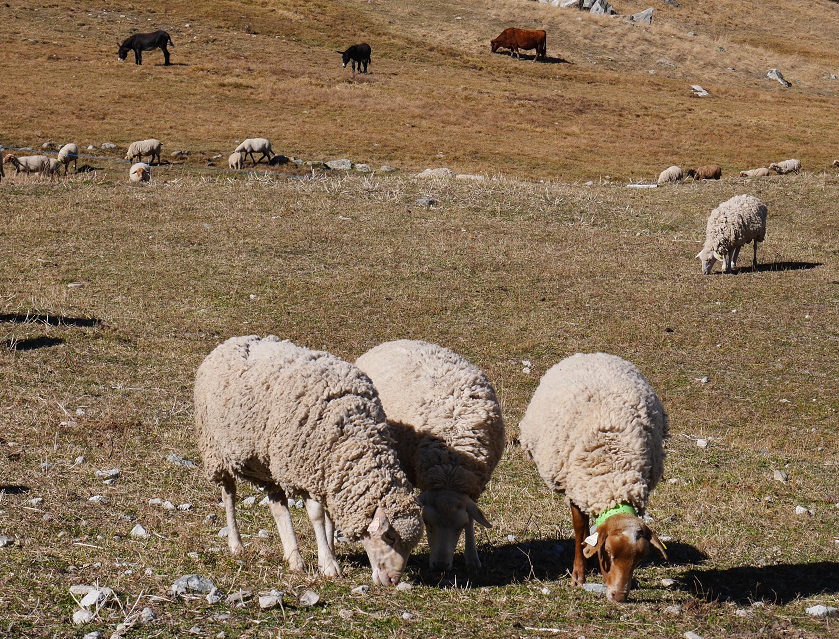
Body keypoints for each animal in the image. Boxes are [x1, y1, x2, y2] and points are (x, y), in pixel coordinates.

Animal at [194, 338, 424, 588]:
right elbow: (317, 516)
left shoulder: (329, 476)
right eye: (390, 536)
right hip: (216, 452)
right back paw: (236, 544)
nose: (393, 580)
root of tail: (231, 342)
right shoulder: (307, 471)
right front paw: (329, 564)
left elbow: (329, 518)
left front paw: (330, 552)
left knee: (278, 505)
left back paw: (293, 557)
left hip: (271, 460)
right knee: (229, 495)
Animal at [356, 342, 506, 572]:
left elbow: (473, 520)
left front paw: (472, 557)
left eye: (460, 527)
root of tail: (392, 341)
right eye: (427, 524)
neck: (449, 471)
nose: (441, 566)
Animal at [520, 352, 668, 604]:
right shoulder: (576, 489)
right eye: (607, 553)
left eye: (639, 559)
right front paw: (578, 574)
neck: (613, 477)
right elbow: (581, 531)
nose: (619, 596)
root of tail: (592, 354)